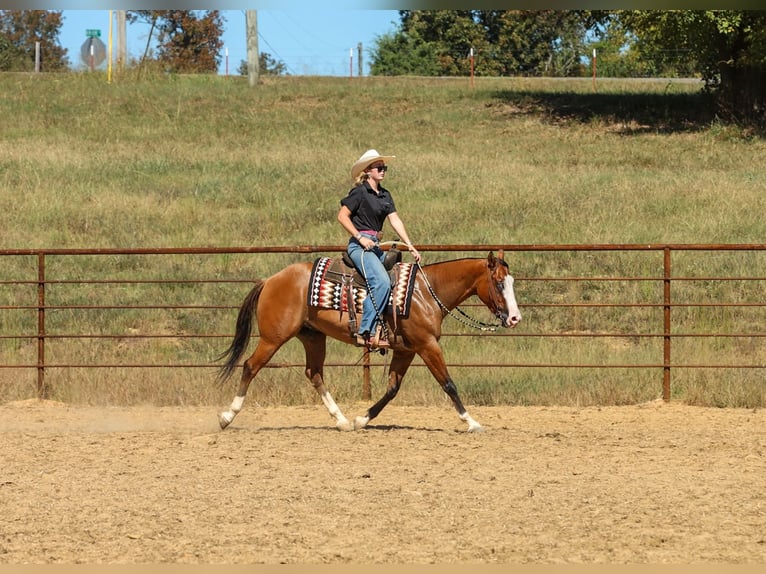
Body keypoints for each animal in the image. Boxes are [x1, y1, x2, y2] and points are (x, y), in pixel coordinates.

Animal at [215, 249, 521, 432]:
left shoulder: (407, 350)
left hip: (313, 337)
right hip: (273, 337)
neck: (425, 292)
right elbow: (448, 383)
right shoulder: (427, 345)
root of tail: (269, 280)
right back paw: (227, 417)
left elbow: (392, 388)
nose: (515, 317)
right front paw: (471, 421)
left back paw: (341, 421)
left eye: (511, 282)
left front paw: (362, 418)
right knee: (250, 366)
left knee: (314, 373)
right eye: (498, 283)